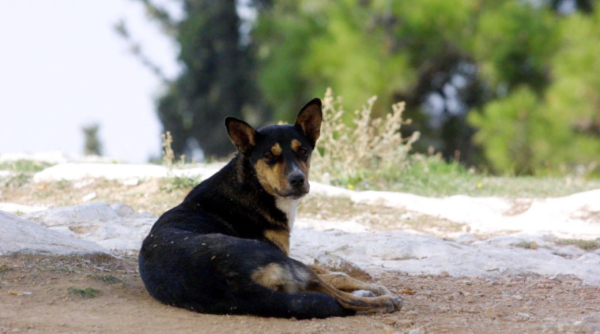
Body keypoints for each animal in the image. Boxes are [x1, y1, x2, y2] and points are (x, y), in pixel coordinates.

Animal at [139, 98, 404, 318]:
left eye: (303, 151)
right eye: (269, 156)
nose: (298, 179)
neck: (254, 185)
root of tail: (236, 286)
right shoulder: (287, 257)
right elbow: (338, 275)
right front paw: (375, 288)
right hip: (284, 262)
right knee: (340, 298)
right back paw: (382, 300)